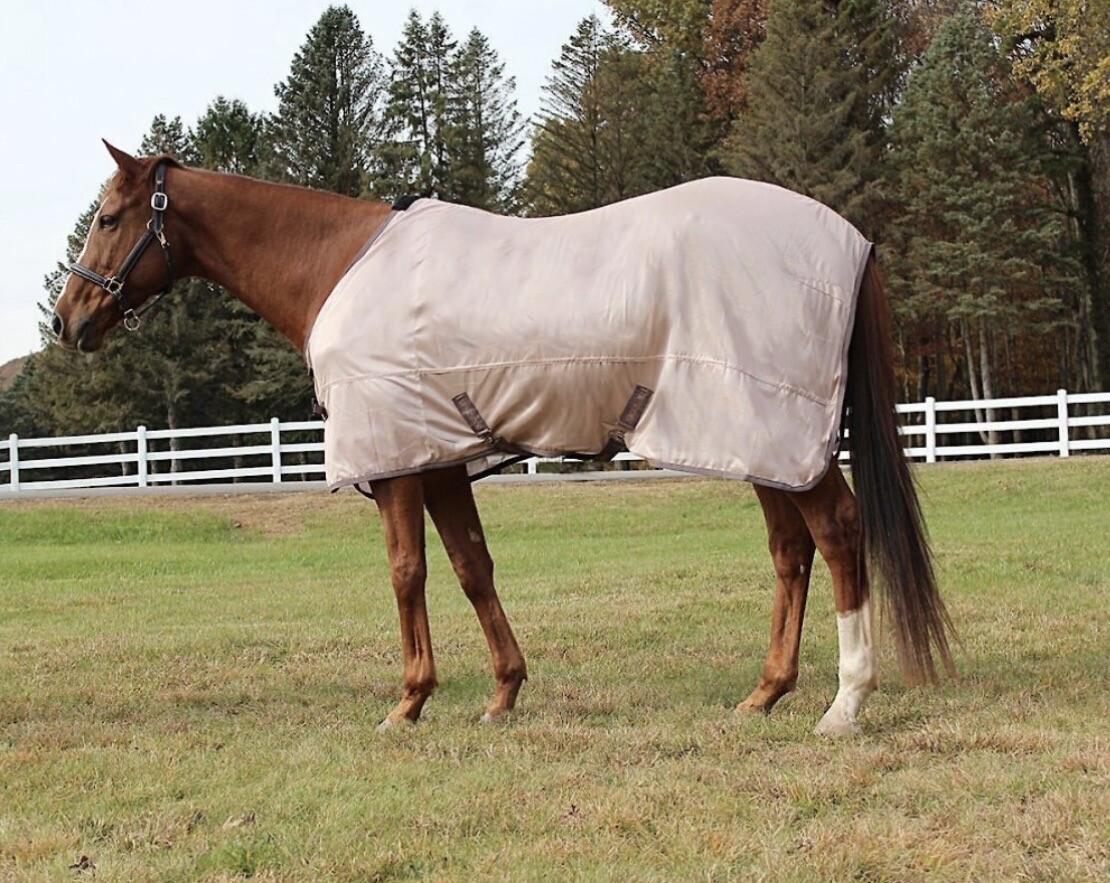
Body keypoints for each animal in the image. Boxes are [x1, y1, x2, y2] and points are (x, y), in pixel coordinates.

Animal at [52, 142, 955, 735]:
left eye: (107, 217)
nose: (67, 320)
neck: (338, 264)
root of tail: (851, 240)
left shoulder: (396, 463)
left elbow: (407, 573)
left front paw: (410, 700)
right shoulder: (443, 458)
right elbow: (471, 567)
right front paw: (501, 693)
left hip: (778, 431)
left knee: (836, 534)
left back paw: (845, 703)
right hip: (756, 439)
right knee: (790, 551)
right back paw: (766, 693)